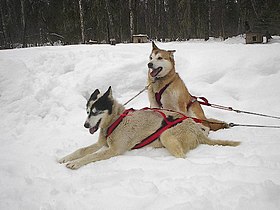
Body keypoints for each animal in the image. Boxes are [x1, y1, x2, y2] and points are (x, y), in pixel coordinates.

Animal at [58, 86, 238, 170]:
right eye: (87, 111)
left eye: (96, 111)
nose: (86, 125)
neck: (116, 120)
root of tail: (197, 130)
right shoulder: (102, 143)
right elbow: (81, 150)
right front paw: (65, 158)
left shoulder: (113, 150)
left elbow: (90, 156)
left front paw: (75, 163)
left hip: (166, 136)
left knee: (182, 157)